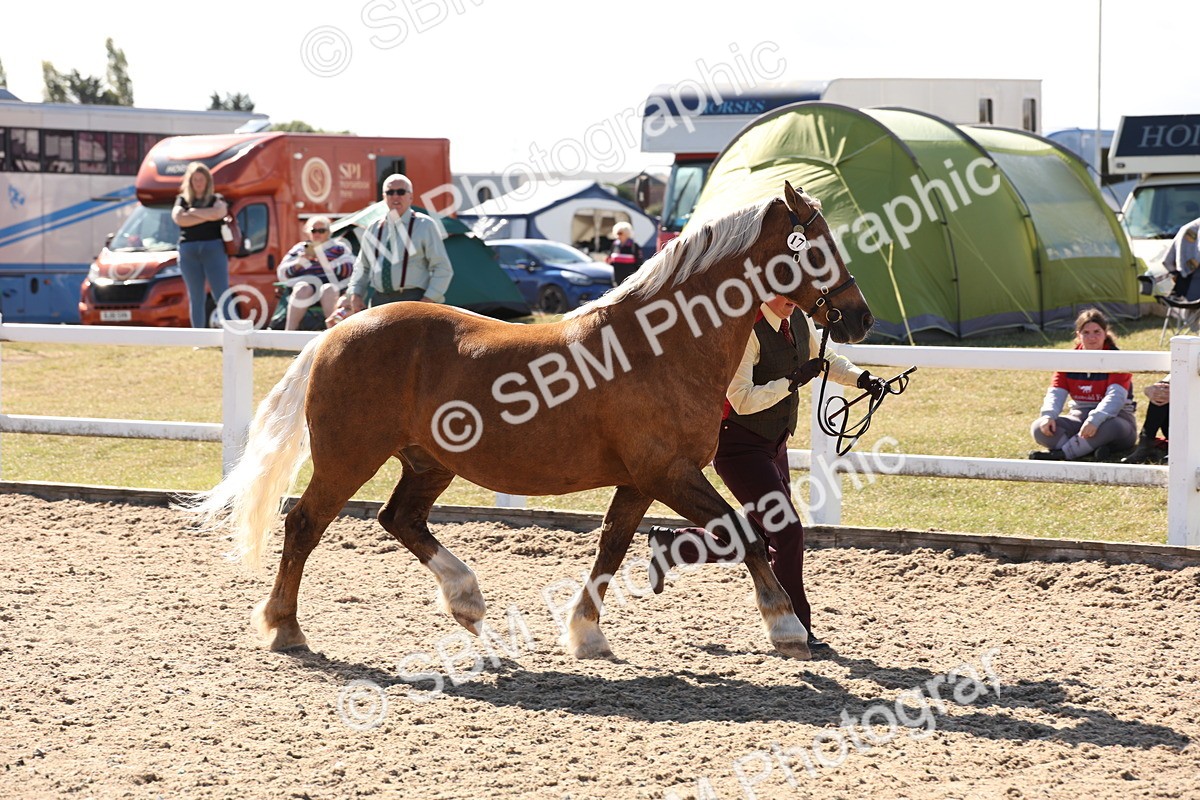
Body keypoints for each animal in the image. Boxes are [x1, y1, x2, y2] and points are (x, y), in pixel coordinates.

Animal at [188, 181, 873, 662]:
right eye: (817, 245)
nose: (861, 318)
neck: (663, 343)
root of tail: (337, 332)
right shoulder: (670, 473)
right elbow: (746, 533)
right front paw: (786, 626)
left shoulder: (641, 480)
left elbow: (611, 546)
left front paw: (586, 634)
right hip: (349, 457)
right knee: (305, 524)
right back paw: (286, 628)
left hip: (428, 462)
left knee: (399, 518)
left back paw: (468, 604)